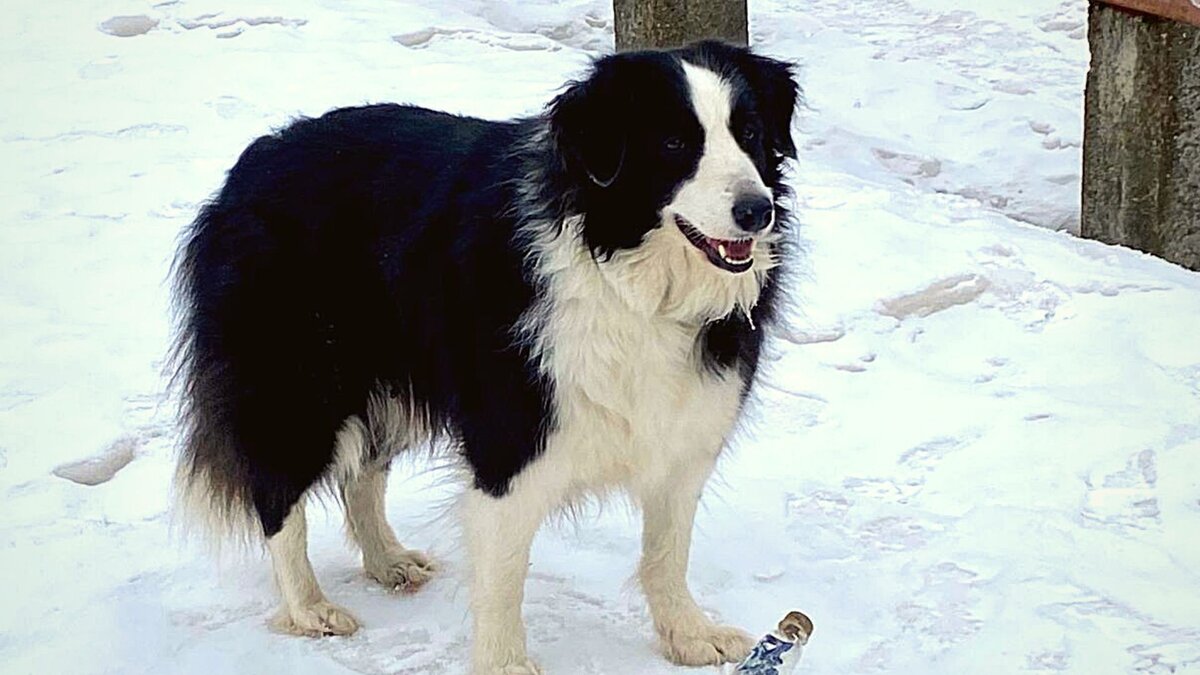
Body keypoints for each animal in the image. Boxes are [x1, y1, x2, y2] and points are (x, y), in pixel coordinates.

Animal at [171, 40, 796, 667]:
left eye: (749, 133)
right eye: (673, 143)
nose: (755, 210)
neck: (630, 278)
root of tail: (257, 158)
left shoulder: (685, 423)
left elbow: (668, 548)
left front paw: (688, 635)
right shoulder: (510, 432)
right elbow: (503, 572)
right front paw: (506, 665)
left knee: (364, 471)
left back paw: (388, 560)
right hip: (301, 375)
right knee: (279, 489)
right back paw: (308, 606)